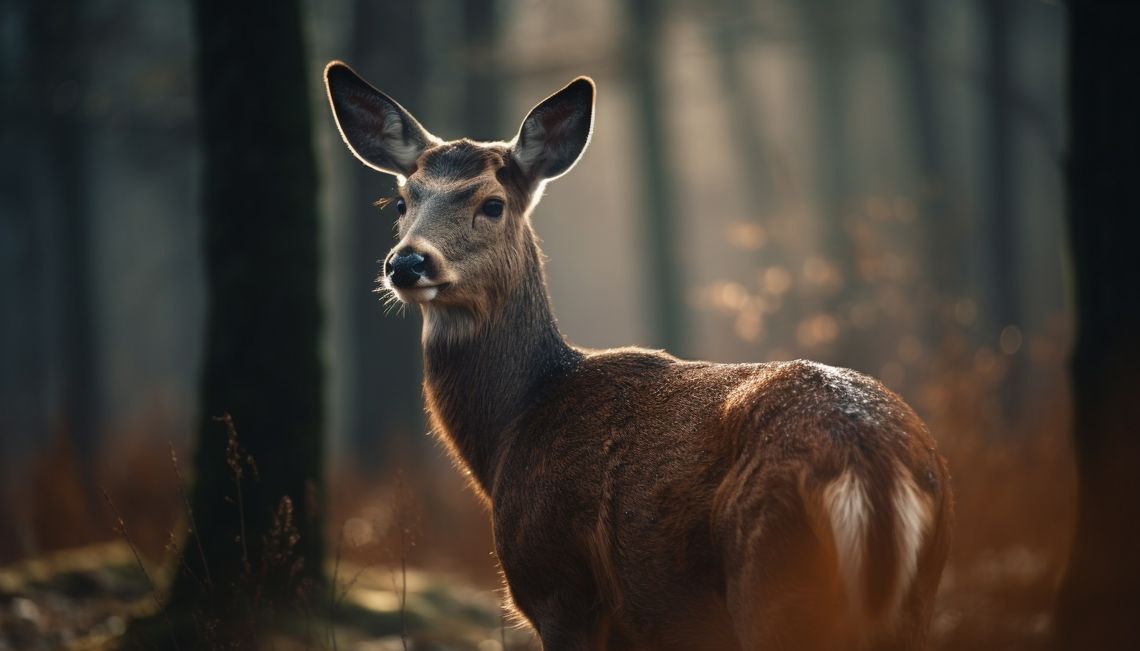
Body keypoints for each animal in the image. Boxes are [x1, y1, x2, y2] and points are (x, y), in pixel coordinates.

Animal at [323, 62, 953, 651]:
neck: (511, 430)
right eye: (401, 200)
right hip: (913, 601)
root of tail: (870, 469)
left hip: (773, 579)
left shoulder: (558, 587)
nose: (407, 263)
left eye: (493, 204)